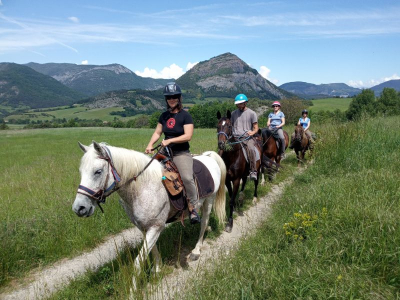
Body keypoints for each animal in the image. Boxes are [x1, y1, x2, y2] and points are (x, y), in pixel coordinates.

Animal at [72, 141, 227, 288]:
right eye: (80, 171)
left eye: (98, 171)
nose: (79, 208)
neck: (143, 188)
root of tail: (208, 156)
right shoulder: (144, 227)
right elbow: (153, 250)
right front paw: (157, 269)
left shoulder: (155, 227)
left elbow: (138, 262)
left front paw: (133, 291)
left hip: (209, 200)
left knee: (204, 222)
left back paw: (196, 250)